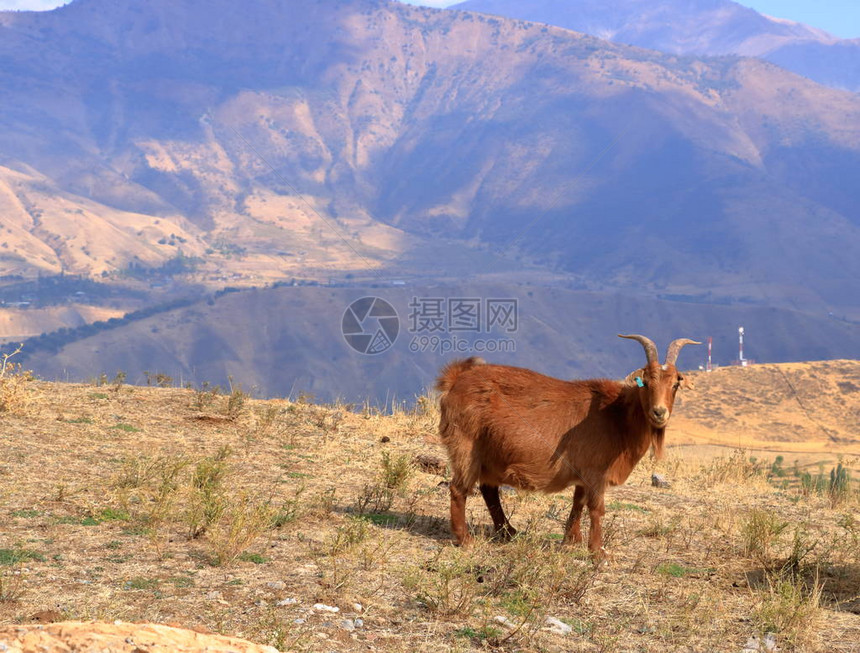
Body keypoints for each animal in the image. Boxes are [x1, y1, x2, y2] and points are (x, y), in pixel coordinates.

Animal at [436, 336, 700, 556]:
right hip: (466, 446)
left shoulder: (583, 473)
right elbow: (596, 508)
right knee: (459, 489)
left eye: (675, 384)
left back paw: (507, 532)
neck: (617, 415)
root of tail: (455, 379)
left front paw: (572, 541)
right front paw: (597, 552)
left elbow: (578, 502)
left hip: (492, 455)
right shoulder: (596, 472)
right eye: (645, 382)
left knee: (488, 490)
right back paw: (465, 539)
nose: (659, 412)